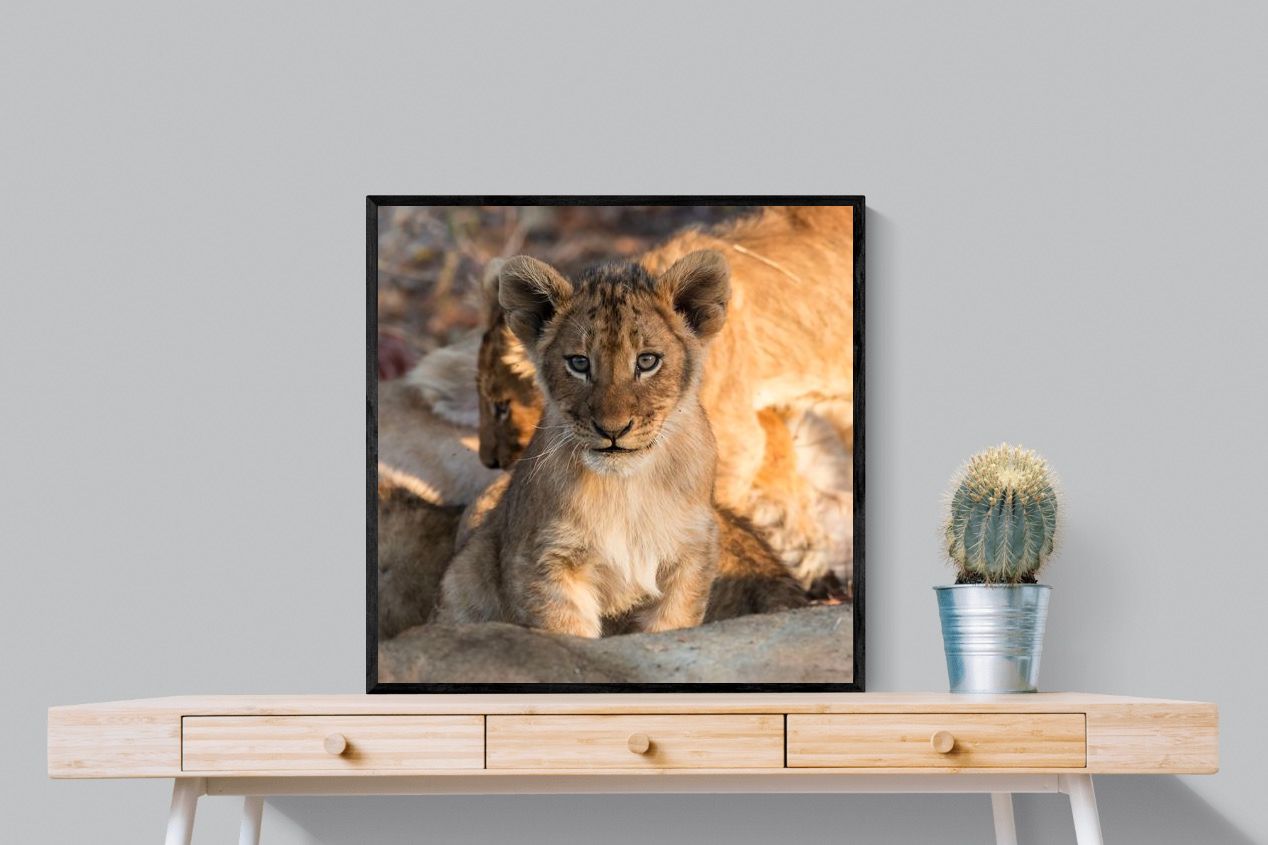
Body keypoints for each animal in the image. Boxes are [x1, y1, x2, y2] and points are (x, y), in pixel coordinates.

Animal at [437, 251, 739, 636]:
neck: (626, 489)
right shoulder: (544, 561)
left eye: (647, 361)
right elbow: (566, 632)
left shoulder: (691, 554)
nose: (613, 429)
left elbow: (671, 625)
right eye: (579, 363)